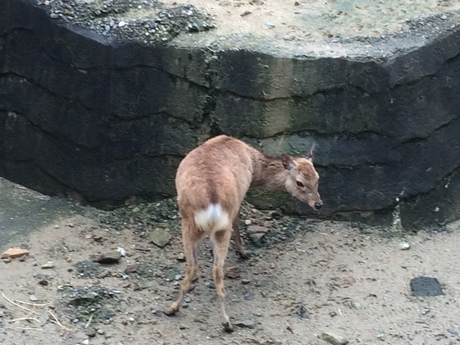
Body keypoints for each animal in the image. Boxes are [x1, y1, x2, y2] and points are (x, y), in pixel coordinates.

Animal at [165, 134, 324, 330]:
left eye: (317, 178)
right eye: (299, 182)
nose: (318, 204)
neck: (254, 164)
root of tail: (211, 206)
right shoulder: (240, 197)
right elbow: (238, 220)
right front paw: (243, 252)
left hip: (192, 225)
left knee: (198, 268)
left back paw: (177, 309)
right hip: (211, 225)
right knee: (211, 269)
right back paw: (221, 321)